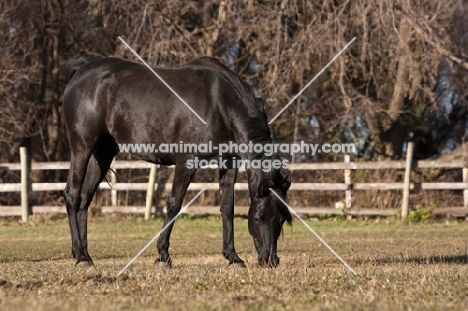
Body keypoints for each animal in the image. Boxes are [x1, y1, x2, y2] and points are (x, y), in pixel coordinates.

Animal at [61, 56, 288, 268]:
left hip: (103, 153)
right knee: (73, 195)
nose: (270, 260)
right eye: (258, 217)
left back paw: (85, 254)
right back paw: (81, 256)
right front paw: (163, 255)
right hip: (82, 148)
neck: (220, 104)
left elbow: (227, 208)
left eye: (281, 220)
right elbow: (174, 204)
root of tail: (79, 72)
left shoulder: (229, 163)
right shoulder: (187, 162)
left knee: (84, 199)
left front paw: (232, 257)